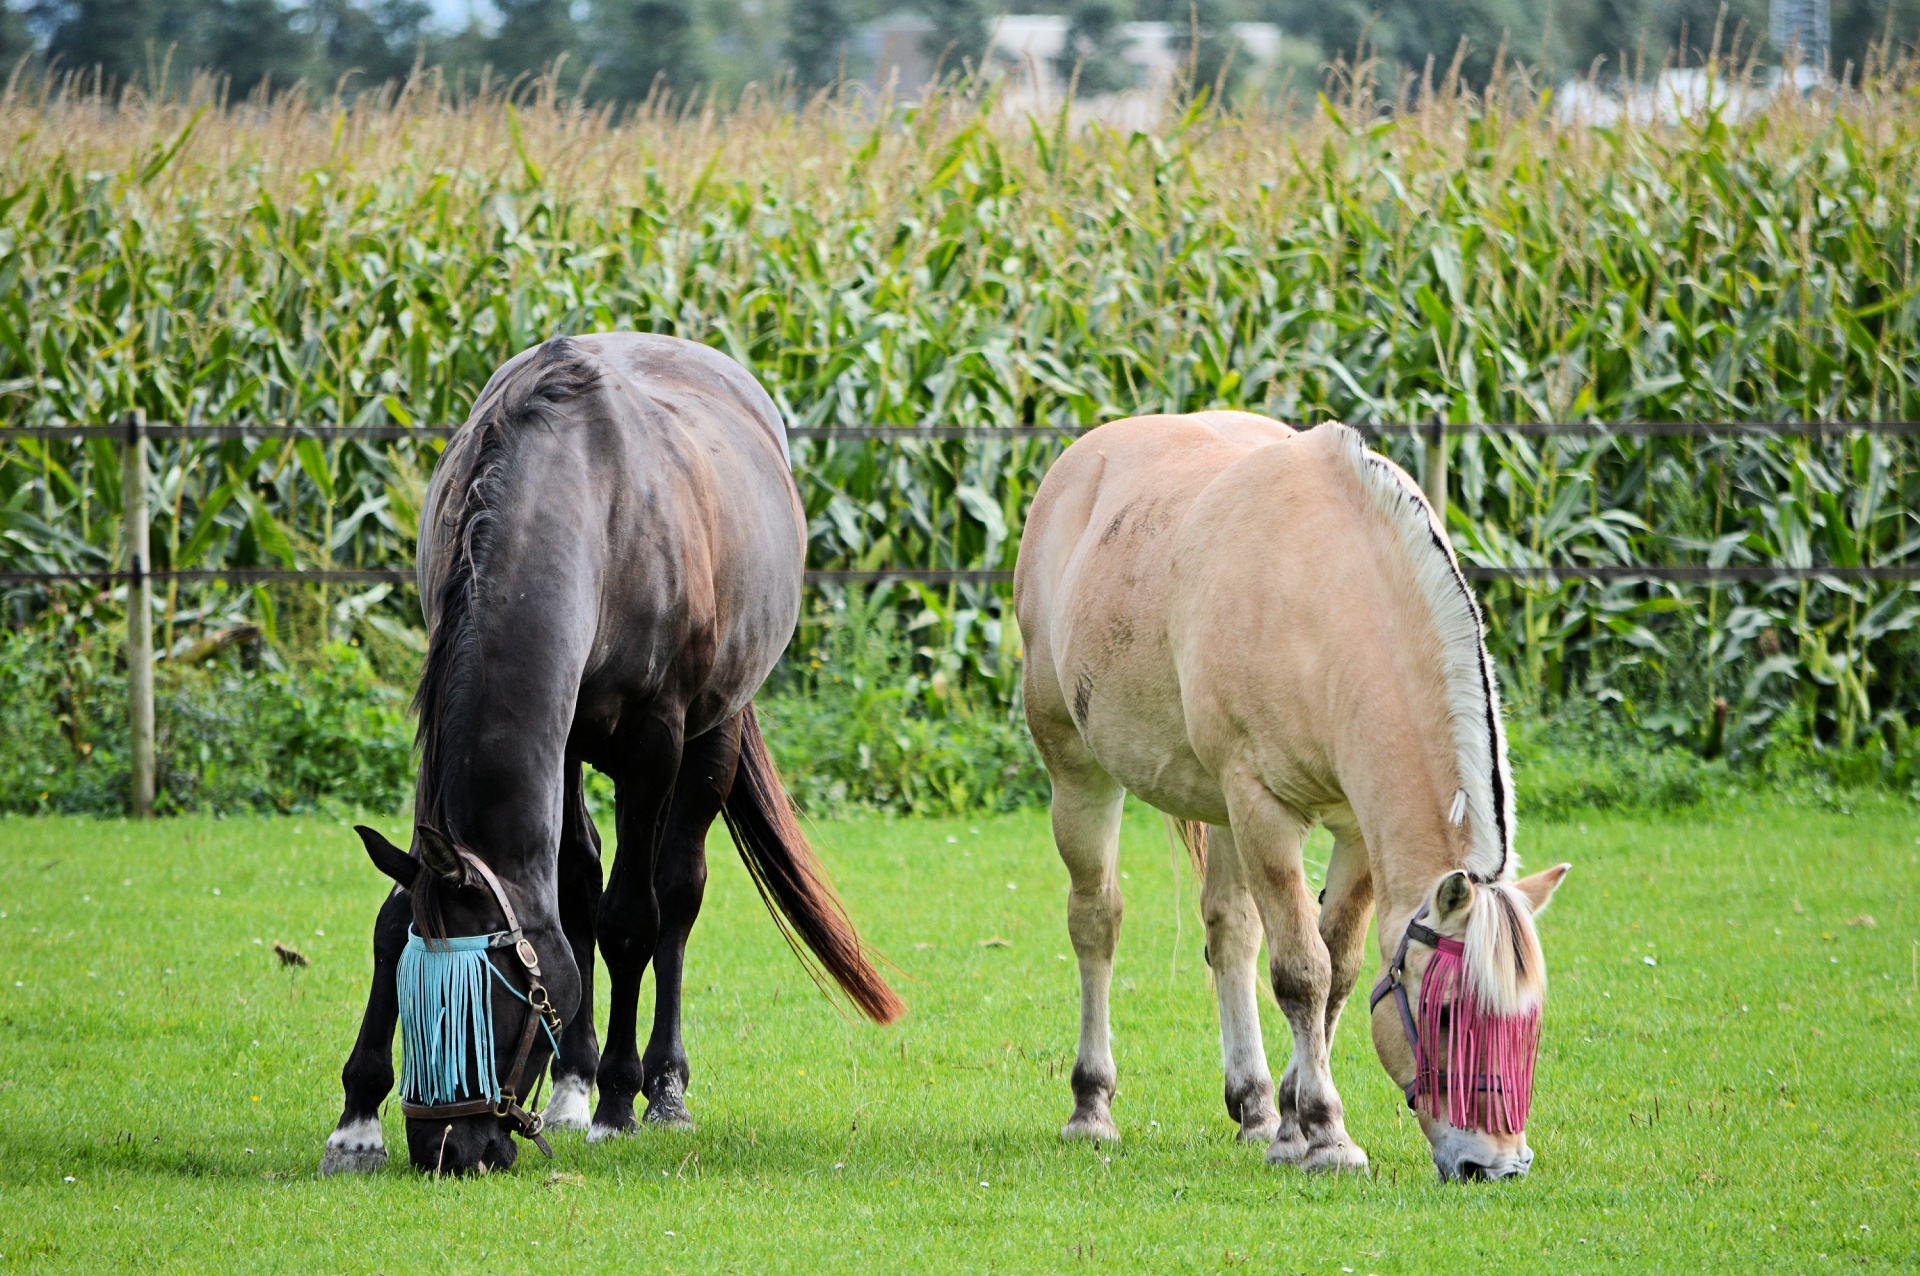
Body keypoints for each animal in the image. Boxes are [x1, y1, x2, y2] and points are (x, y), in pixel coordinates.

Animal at [324, 330, 906, 1174]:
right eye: (414, 992)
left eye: (491, 1001)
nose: (450, 1148)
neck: (578, 497)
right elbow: (411, 909)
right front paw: (357, 1119)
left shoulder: (652, 742)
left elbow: (631, 918)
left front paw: (620, 1103)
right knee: (578, 878)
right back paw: (573, 1082)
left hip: (713, 730)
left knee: (678, 891)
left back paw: (659, 1089)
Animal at [1013, 412, 1566, 1181]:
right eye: (1447, 1013)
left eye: (1531, 1024)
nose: (1497, 1165)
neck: (1328, 599)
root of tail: (1080, 460)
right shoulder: (1262, 809)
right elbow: (1303, 972)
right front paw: (1327, 1135)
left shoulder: (1355, 832)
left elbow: (1338, 971)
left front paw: (1293, 1121)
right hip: (1078, 771)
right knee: (1097, 922)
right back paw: (1091, 1108)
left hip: (1216, 808)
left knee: (1230, 931)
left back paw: (1252, 1108)